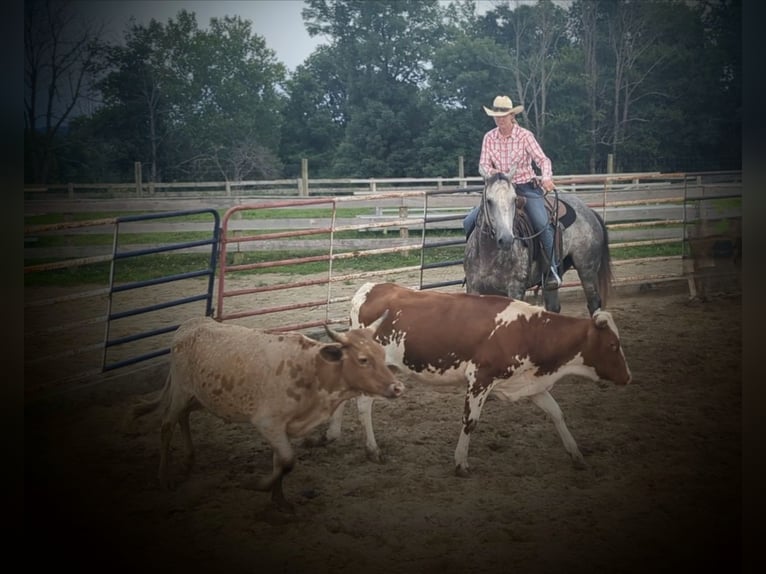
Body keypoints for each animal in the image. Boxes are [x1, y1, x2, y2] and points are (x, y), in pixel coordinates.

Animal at [133, 316, 404, 512]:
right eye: (363, 359)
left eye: (382, 354)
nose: (397, 387)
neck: (313, 369)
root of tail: (188, 325)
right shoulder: (268, 423)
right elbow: (287, 460)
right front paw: (256, 485)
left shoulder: (282, 428)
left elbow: (279, 463)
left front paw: (279, 500)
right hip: (181, 390)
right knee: (166, 426)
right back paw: (164, 477)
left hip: (202, 397)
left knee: (184, 417)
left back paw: (189, 459)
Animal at [464, 171, 616, 318]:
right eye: (489, 201)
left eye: (514, 200)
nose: (506, 239)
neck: (488, 255)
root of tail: (590, 211)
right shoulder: (474, 288)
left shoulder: (515, 289)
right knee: (554, 307)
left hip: (587, 270)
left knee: (594, 303)